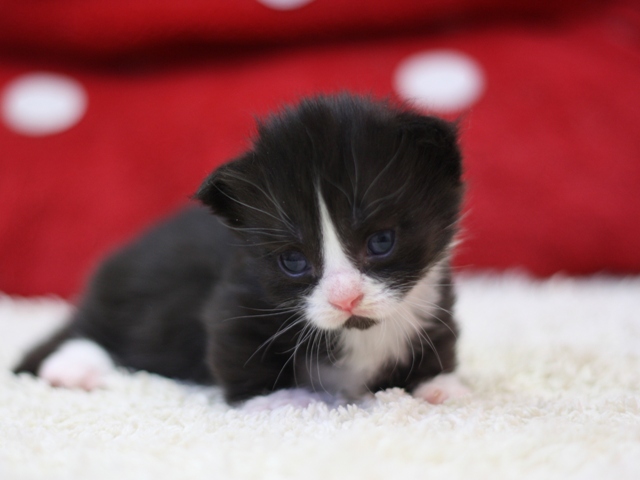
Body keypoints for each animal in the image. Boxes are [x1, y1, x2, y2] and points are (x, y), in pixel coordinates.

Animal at [12, 95, 468, 406]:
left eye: (381, 241)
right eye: (293, 260)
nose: (346, 298)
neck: (360, 332)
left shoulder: (433, 299)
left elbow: (437, 343)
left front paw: (438, 385)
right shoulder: (236, 302)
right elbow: (241, 358)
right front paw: (285, 401)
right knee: (85, 332)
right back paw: (72, 367)